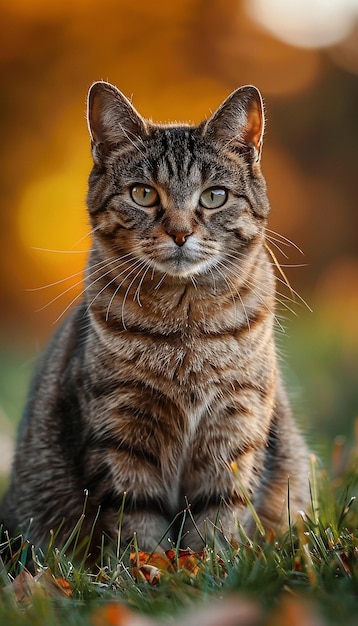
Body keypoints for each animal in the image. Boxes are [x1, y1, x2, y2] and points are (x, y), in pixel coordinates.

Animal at [0, 79, 310, 556]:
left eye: (214, 196)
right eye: (143, 193)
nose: (180, 233)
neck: (186, 326)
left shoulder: (235, 422)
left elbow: (221, 513)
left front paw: (208, 562)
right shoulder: (119, 428)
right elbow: (136, 519)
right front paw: (152, 567)